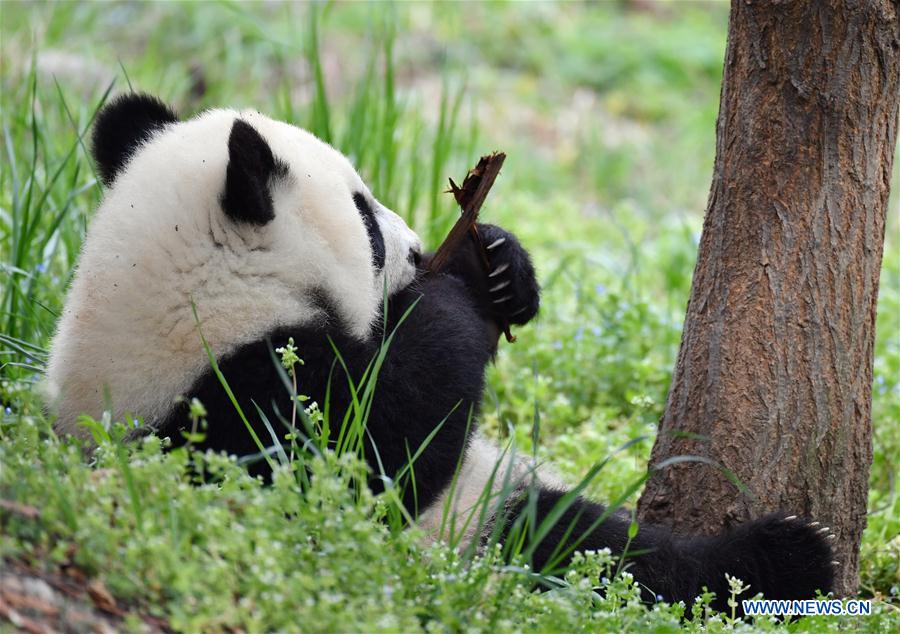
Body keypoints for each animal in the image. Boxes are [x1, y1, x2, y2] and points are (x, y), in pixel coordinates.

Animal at [45, 93, 835, 613]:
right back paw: (792, 559)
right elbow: (369, 455)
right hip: (470, 537)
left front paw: (500, 266)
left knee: (596, 541)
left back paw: (785, 559)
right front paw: (452, 302)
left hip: (490, 501)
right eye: (365, 218)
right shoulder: (234, 408)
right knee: (592, 559)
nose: (422, 249)